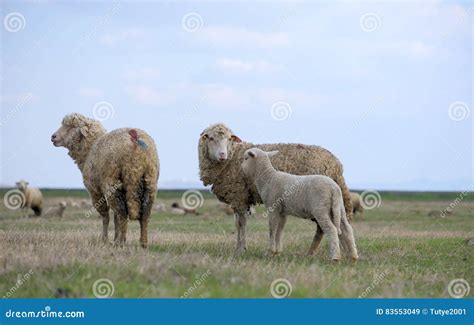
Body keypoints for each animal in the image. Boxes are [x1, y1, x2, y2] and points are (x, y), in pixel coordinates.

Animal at [51, 112, 159, 247]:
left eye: (71, 126)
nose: (53, 137)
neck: (88, 150)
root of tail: (133, 137)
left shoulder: (95, 192)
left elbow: (106, 217)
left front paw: (105, 239)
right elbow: (115, 217)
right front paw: (114, 237)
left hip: (112, 182)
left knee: (122, 213)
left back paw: (121, 242)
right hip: (150, 180)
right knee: (144, 214)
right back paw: (142, 243)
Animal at [198, 122, 354, 253]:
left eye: (229, 139)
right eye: (210, 138)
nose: (222, 155)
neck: (232, 157)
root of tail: (336, 164)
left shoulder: (239, 196)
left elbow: (241, 224)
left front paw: (241, 249)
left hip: (318, 204)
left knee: (323, 228)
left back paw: (315, 252)